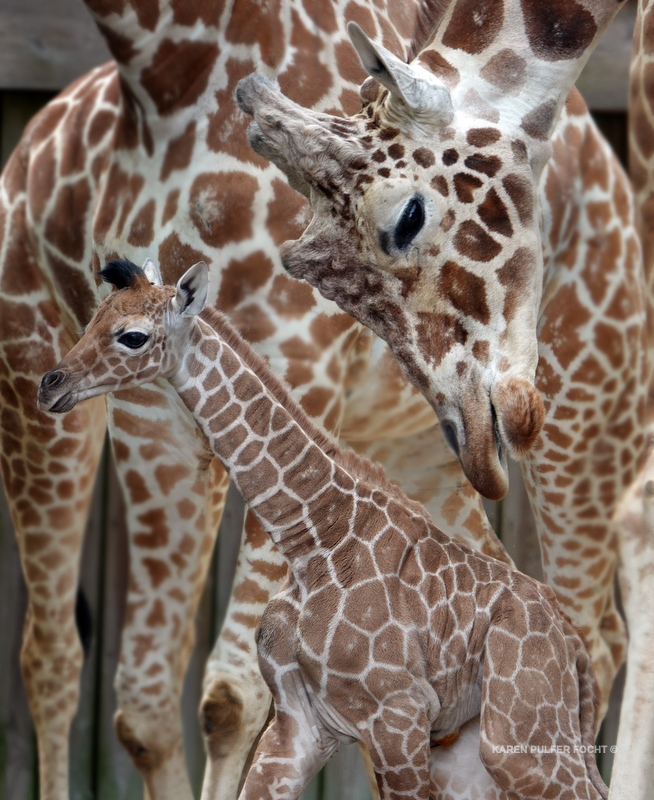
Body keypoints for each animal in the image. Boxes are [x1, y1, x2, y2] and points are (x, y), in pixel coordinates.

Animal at [36, 260, 608, 796]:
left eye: (132, 335)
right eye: (93, 317)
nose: (50, 385)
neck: (313, 537)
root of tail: (575, 650)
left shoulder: (398, 713)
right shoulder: (300, 723)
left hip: (519, 739)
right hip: (470, 758)